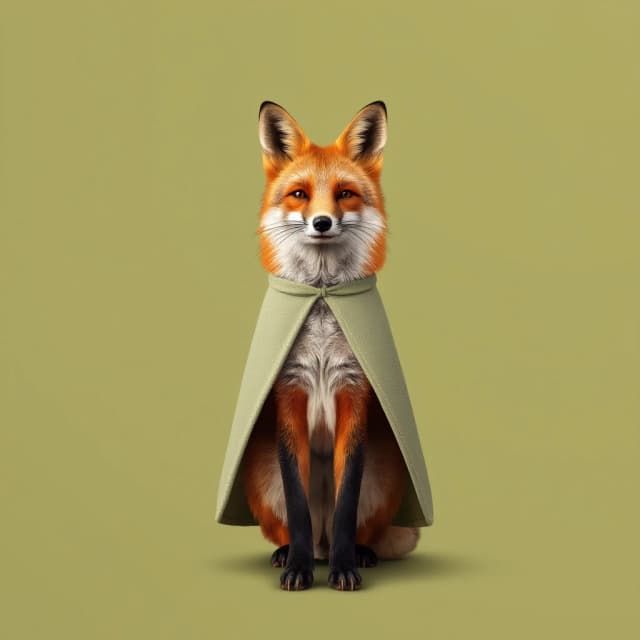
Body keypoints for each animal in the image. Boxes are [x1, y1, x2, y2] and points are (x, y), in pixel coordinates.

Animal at [241, 100, 419, 591]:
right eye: (300, 194)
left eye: (344, 194)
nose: (322, 222)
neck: (322, 297)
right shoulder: (289, 393)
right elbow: (298, 502)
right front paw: (299, 570)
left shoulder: (353, 392)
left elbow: (346, 500)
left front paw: (345, 569)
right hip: (260, 472)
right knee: (297, 524)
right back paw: (292, 553)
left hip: (385, 470)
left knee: (355, 526)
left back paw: (356, 553)